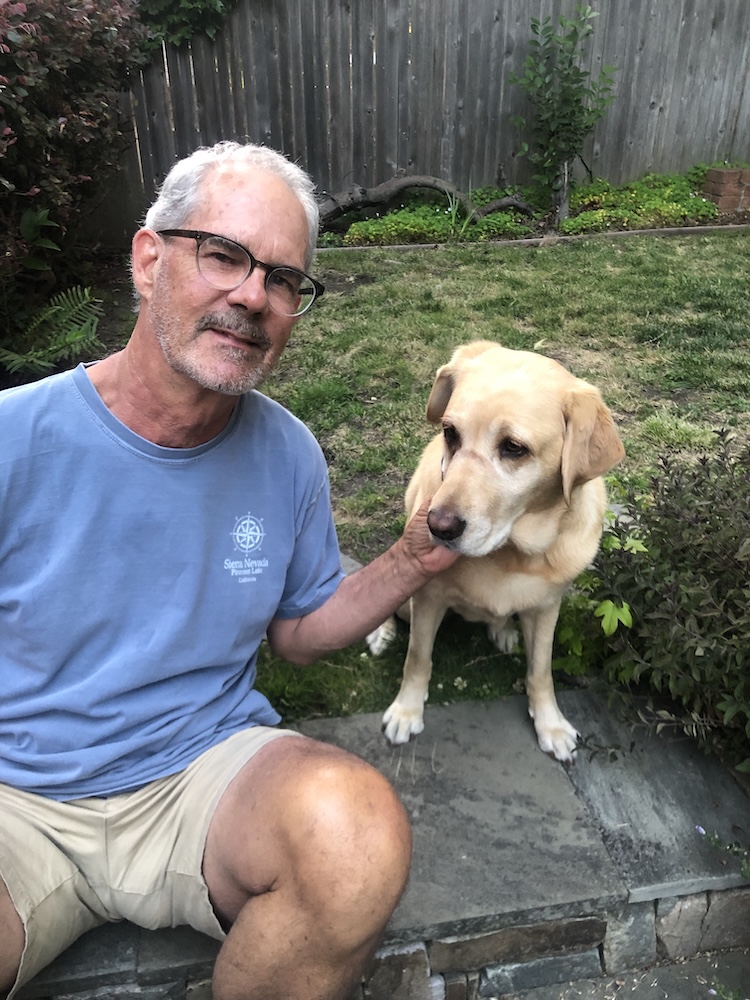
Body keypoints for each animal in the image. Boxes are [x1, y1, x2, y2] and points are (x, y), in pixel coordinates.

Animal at [367, 341, 624, 762]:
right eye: (450, 433)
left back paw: (502, 629)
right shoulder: (427, 597)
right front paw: (406, 711)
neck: (510, 553)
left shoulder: (547, 608)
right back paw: (380, 632)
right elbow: (417, 657)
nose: (437, 527)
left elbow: (540, 671)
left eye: (514, 448)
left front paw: (551, 724)